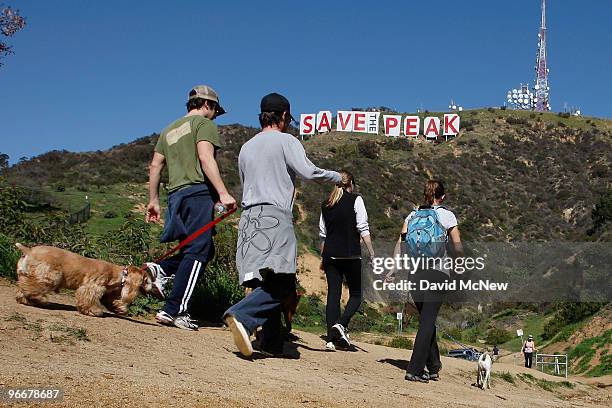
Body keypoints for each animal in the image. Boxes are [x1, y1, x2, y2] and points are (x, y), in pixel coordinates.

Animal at [14, 244, 153, 318]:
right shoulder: (93, 287)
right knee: (31, 287)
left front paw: (120, 309)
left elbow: (111, 301)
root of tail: (29, 250)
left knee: (23, 286)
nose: (152, 287)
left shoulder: (107, 292)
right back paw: (39, 299)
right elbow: (88, 300)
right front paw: (94, 311)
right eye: (147, 280)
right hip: (50, 276)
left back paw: (28, 300)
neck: (118, 274)